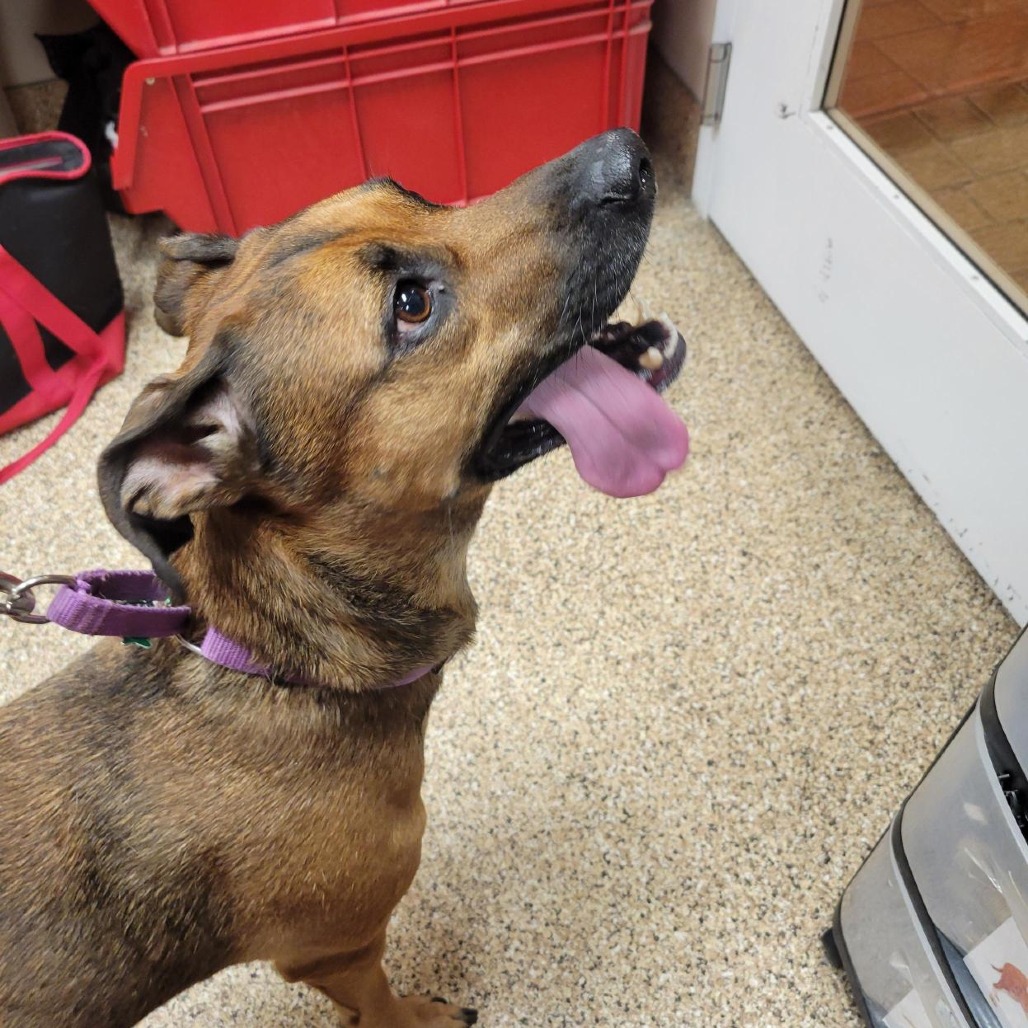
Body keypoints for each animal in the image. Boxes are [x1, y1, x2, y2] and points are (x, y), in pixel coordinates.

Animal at [0, 129, 687, 1027]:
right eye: (410, 305)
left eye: (406, 189)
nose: (627, 152)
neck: (282, 666)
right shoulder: (339, 950)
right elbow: (384, 1003)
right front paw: (426, 1016)